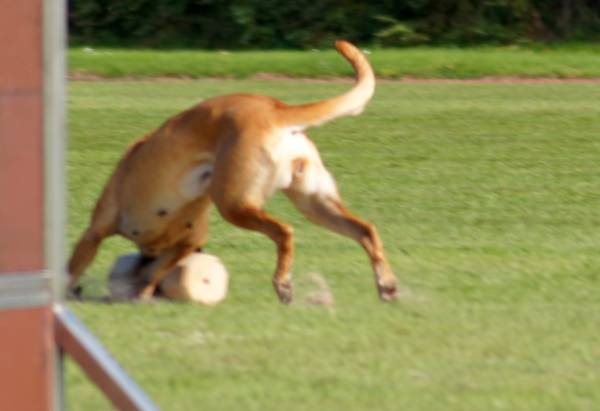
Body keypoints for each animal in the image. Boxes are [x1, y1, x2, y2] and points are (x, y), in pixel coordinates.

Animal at [68, 40, 400, 303]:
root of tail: (277, 109)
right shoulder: (188, 242)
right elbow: (156, 273)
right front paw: (144, 293)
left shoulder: (95, 231)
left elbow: (74, 266)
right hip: (315, 201)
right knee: (365, 230)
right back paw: (387, 285)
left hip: (234, 202)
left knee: (284, 231)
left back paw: (283, 284)